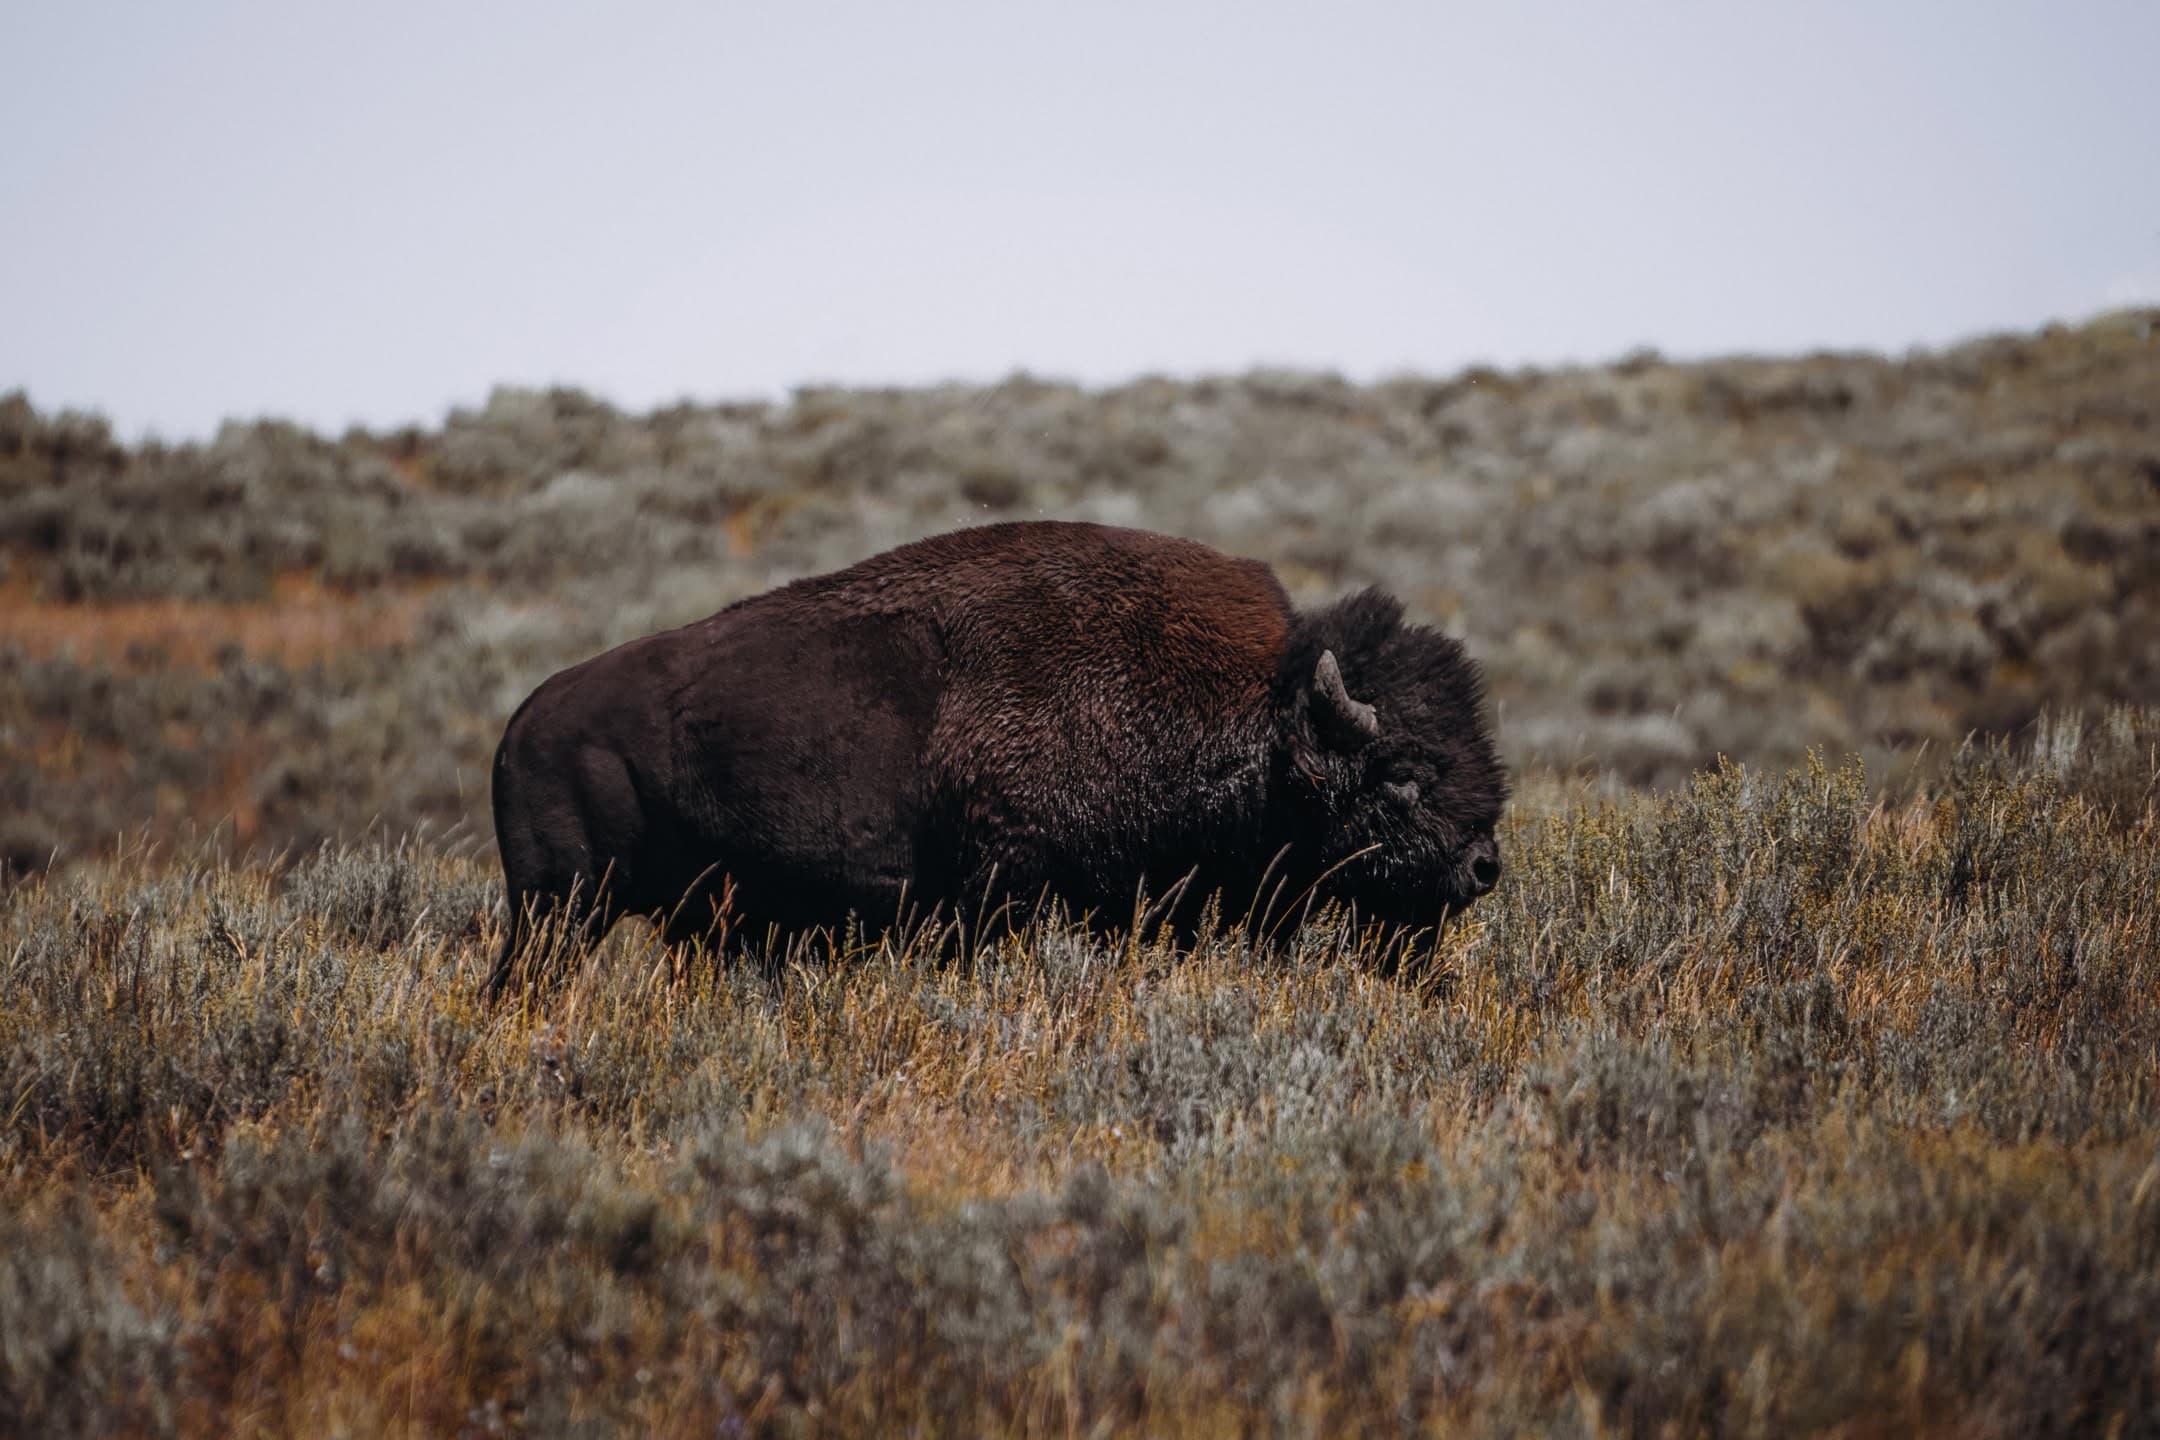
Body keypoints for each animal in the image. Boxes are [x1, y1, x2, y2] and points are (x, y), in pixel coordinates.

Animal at [487, 520, 1504, 993]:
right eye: (1402, 776)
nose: (1482, 866)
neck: (1260, 717)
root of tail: (525, 717)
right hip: (559, 908)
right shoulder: (1001, 898)